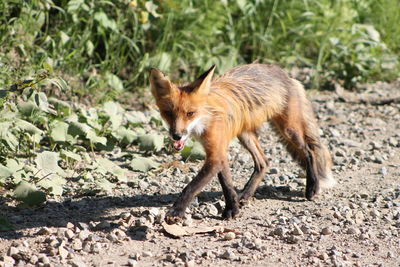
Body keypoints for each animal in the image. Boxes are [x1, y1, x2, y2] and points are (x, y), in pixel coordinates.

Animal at [149, 64, 334, 224]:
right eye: (168, 113)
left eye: (190, 113)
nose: (176, 135)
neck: (207, 118)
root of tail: (284, 73)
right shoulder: (219, 152)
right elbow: (227, 184)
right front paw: (233, 208)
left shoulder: (216, 153)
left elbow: (192, 187)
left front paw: (176, 211)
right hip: (245, 135)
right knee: (263, 162)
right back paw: (245, 194)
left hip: (289, 130)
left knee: (309, 151)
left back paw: (312, 187)